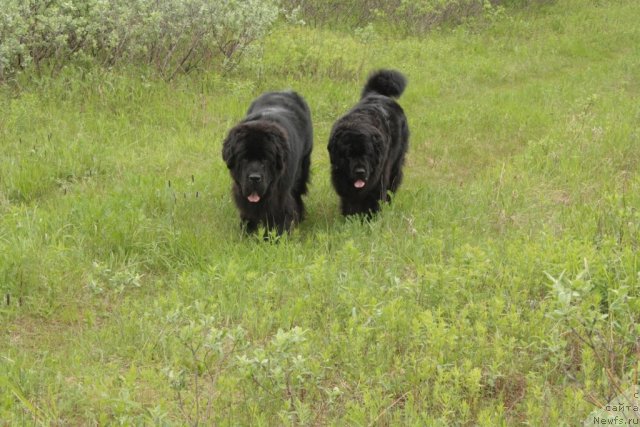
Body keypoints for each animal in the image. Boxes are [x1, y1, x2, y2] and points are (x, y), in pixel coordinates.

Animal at [221, 91, 314, 236]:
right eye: (244, 158)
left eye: (265, 159)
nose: (254, 178)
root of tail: (286, 91)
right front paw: (248, 231)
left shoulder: (281, 196)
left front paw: (277, 235)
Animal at [330, 70, 410, 217]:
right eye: (348, 155)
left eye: (368, 154)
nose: (360, 171)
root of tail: (377, 93)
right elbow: (349, 201)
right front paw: (350, 217)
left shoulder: (379, 178)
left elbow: (374, 198)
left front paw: (370, 218)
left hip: (396, 163)